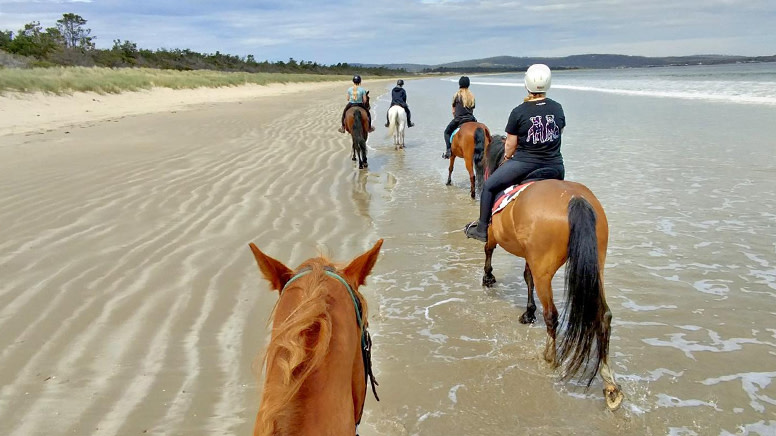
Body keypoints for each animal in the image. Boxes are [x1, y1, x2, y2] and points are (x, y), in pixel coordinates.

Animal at [478, 137, 624, 412]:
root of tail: (575, 199)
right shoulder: (530, 256)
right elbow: (527, 277)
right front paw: (528, 312)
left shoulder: (494, 234)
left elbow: (488, 250)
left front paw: (488, 278)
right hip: (596, 264)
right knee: (603, 316)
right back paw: (609, 383)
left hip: (545, 267)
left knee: (552, 315)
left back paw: (550, 356)